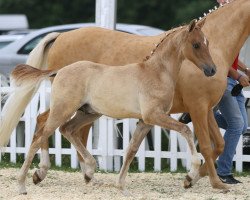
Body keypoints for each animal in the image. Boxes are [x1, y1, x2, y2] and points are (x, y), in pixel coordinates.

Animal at [0, 0, 249, 191]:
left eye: (207, 43)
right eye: (196, 45)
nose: (211, 70)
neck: (157, 71)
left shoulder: (183, 113)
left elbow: (133, 150)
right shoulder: (189, 108)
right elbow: (199, 141)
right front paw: (206, 179)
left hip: (87, 112)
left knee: (67, 130)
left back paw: (86, 172)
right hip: (66, 107)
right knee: (43, 130)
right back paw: (31, 179)